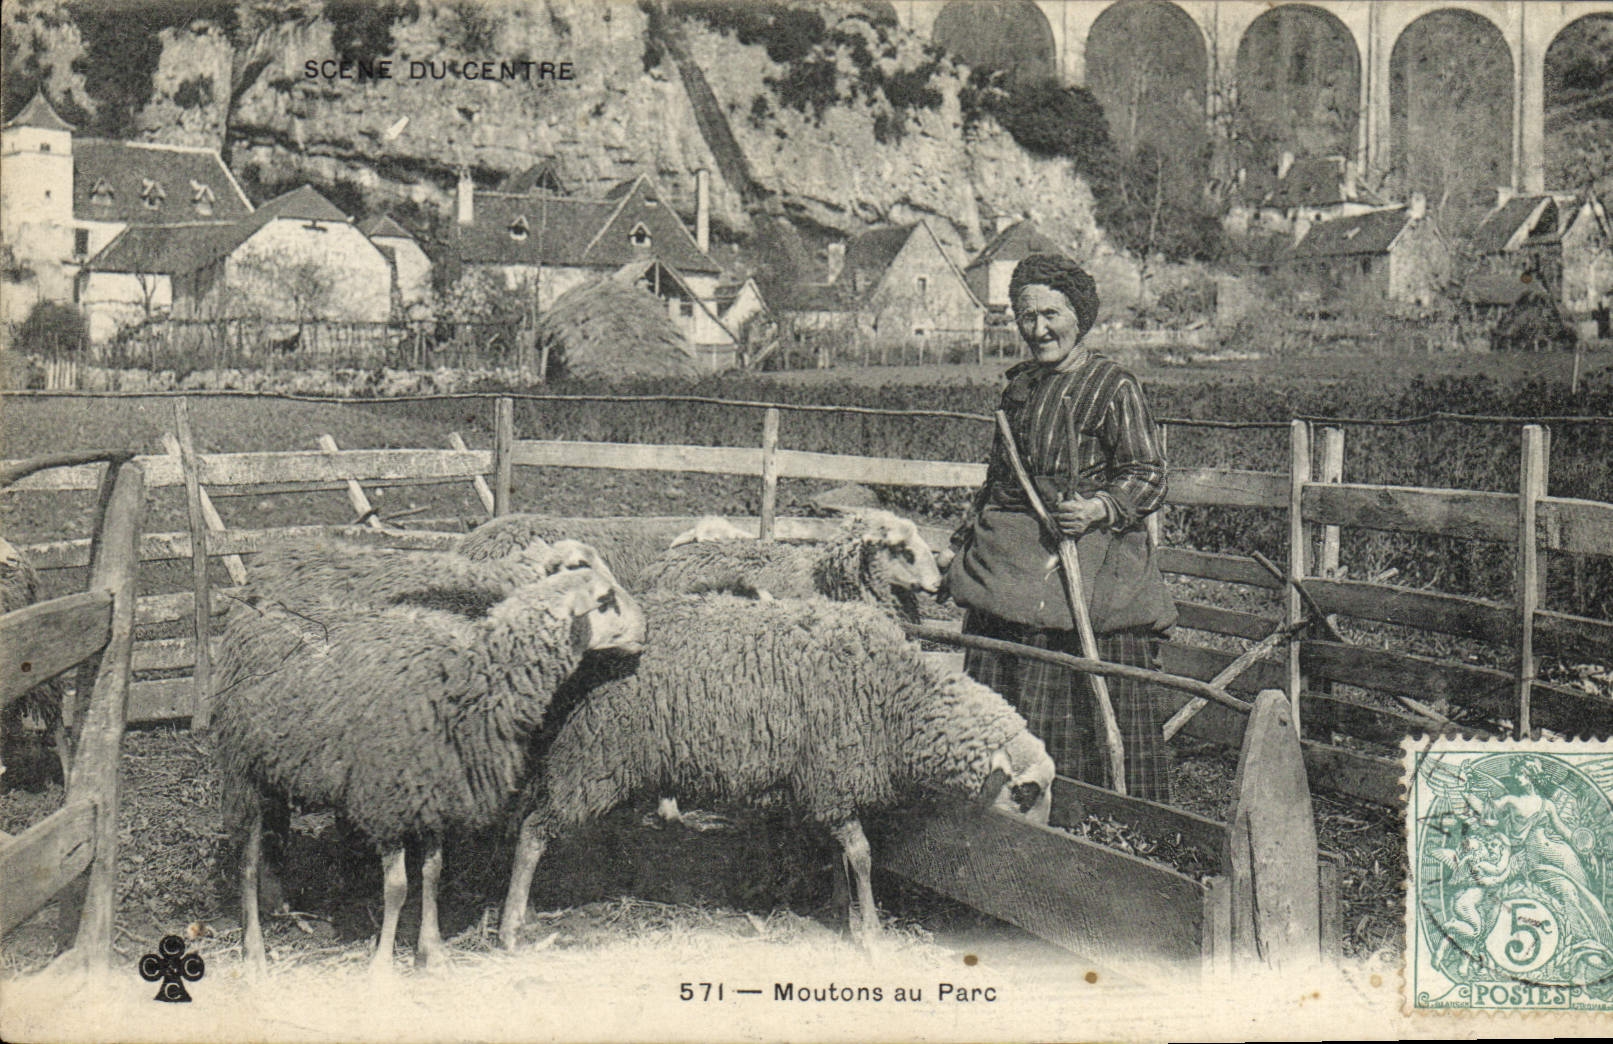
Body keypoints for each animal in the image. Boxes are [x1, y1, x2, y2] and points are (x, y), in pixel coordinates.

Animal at [213, 566, 647, 976]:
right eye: (605, 600)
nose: (645, 628)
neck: (473, 675)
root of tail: (254, 604)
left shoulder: (437, 791)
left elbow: (433, 875)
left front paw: (431, 954)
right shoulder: (386, 799)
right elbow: (397, 887)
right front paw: (382, 966)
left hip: (275, 768)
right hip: (242, 767)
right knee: (247, 862)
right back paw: (254, 952)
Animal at [497, 592, 1055, 950]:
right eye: (1025, 794)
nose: (1044, 840)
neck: (901, 695)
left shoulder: (822, 786)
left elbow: (838, 853)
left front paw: (839, 910)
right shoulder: (832, 777)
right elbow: (861, 854)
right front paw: (872, 932)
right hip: (592, 756)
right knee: (534, 831)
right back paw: (510, 927)